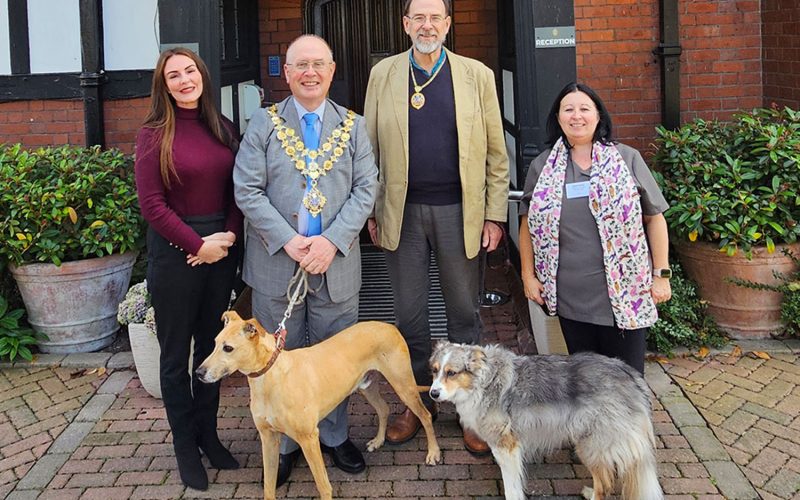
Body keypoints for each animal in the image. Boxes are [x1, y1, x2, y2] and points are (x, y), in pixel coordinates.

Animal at [197, 310, 440, 498]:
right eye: (215, 344)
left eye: (228, 348)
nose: (199, 372)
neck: (271, 377)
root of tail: (389, 326)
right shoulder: (268, 438)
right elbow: (269, 485)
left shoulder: (309, 439)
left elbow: (323, 486)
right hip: (366, 385)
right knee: (384, 408)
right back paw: (378, 441)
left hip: (403, 385)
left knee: (425, 415)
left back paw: (433, 453)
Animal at [432, 342, 664, 498]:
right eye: (434, 371)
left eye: (451, 373)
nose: (433, 393)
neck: (483, 381)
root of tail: (631, 376)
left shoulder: (506, 447)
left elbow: (511, 487)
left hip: (592, 444)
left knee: (604, 486)